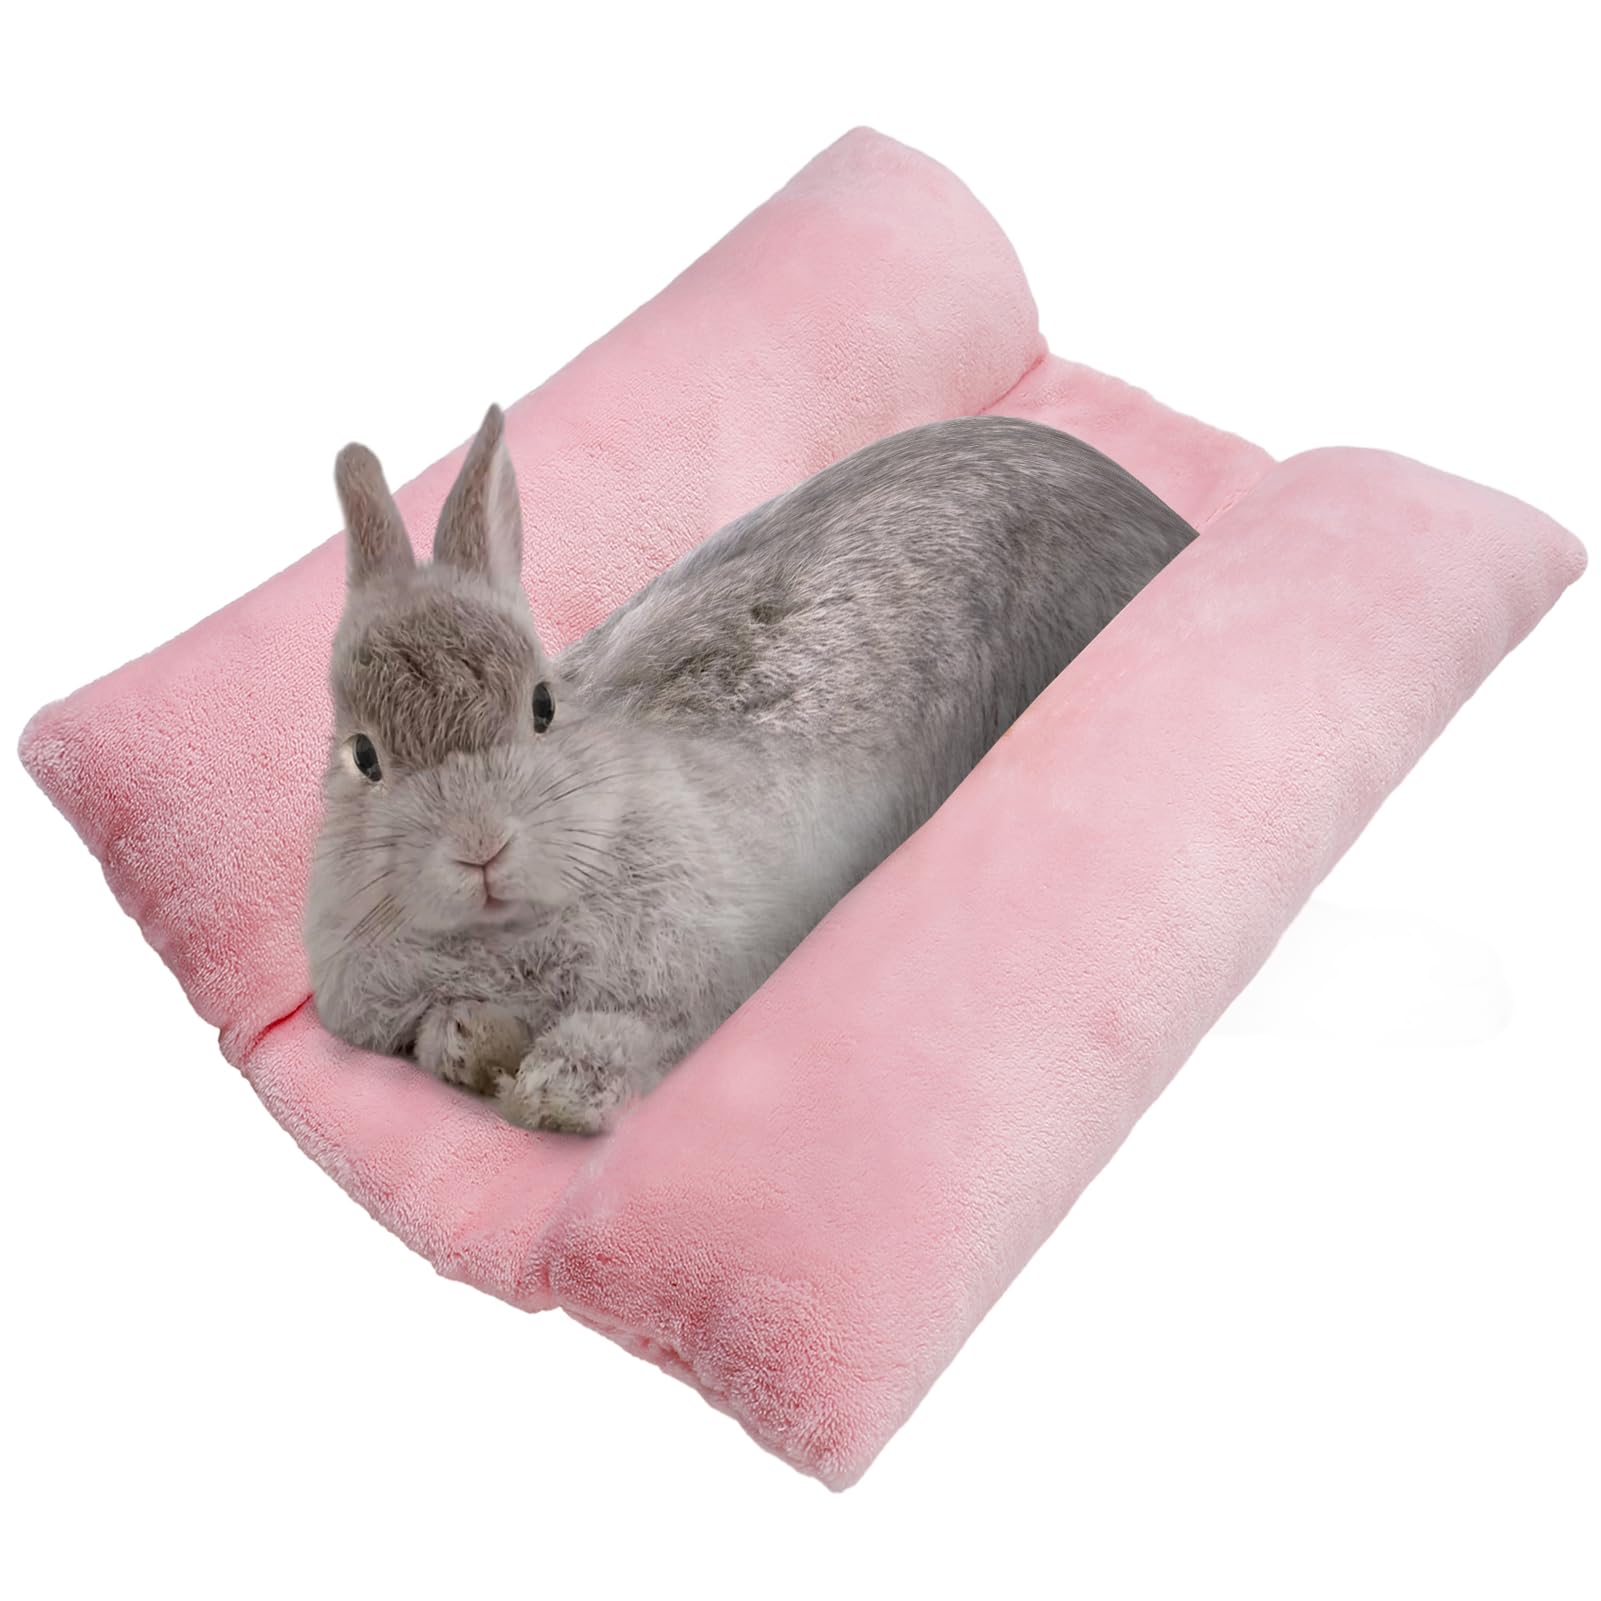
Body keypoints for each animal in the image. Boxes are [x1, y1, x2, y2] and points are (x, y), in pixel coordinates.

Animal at [302, 405, 1198, 1134]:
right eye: (365, 756)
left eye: (543, 705)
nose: (480, 844)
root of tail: (1163, 516)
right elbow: (439, 1036)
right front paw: (483, 1050)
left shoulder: (693, 984)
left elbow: (628, 1037)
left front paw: (552, 1096)